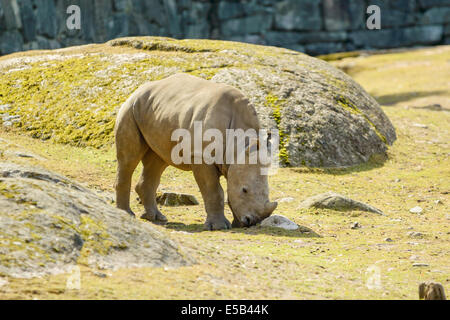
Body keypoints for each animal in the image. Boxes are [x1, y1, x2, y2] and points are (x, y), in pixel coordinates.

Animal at [114, 74, 276, 230]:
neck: (238, 145)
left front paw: (236, 224)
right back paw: (126, 214)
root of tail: (138, 90)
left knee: (158, 160)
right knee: (129, 159)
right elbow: (214, 190)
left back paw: (156, 218)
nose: (253, 221)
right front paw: (218, 227)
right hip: (130, 108)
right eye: (244, 190)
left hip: (155, 111)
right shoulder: (200, 156)